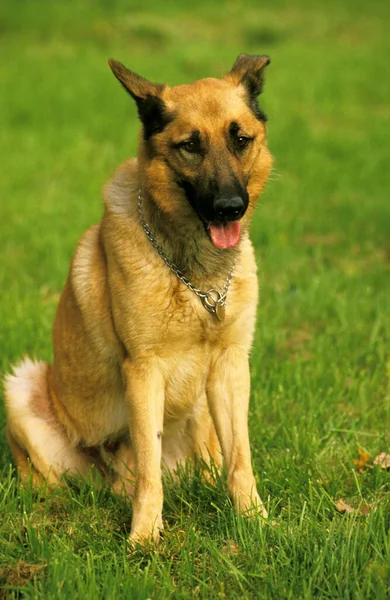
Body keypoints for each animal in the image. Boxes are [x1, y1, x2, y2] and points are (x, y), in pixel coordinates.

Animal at [3, 55, 272, 544]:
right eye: (190, 145)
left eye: (240, 139)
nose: (229, 208)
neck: (194, 276)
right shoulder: (144, 372)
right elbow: (150, 467)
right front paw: (145, 538)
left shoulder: (230, 365)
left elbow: (241, 460)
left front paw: (255, 522)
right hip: (22, 387)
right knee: (57, 482)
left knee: (211, 461)